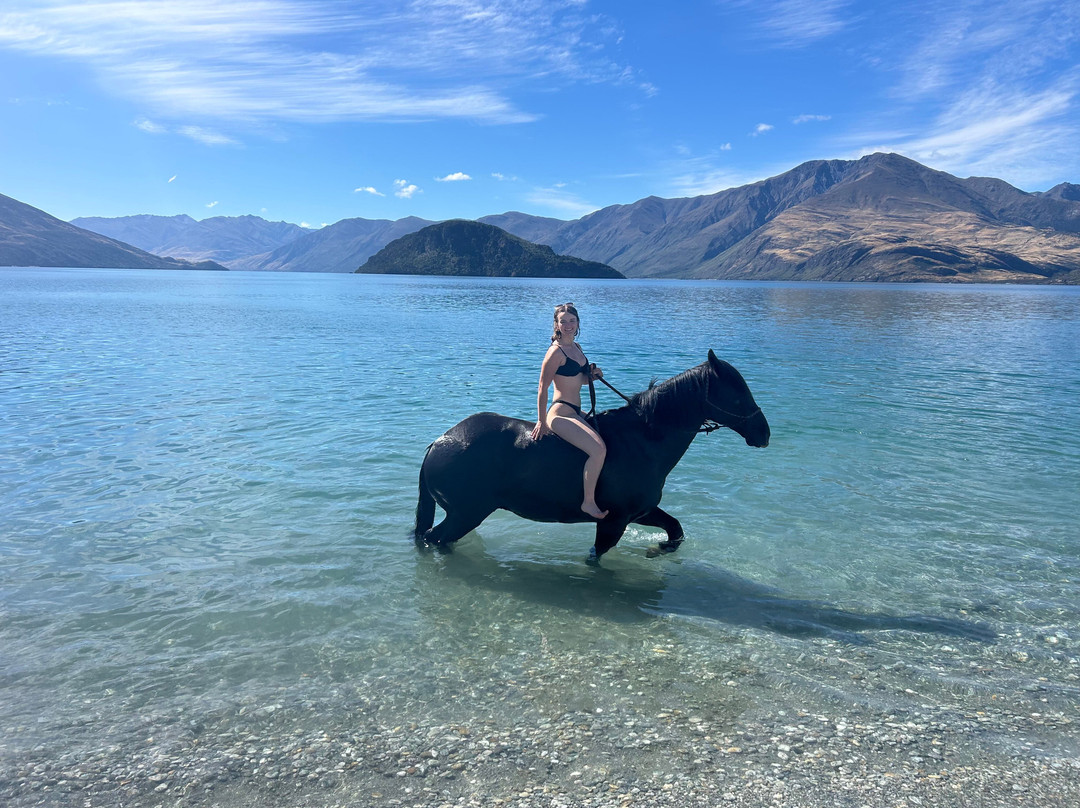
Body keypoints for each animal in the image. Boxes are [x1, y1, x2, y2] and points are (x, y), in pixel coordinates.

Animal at [413, 350, 770, 561]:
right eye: (738, 397)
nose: (764, 434)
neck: (643, 440)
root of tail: (437, 443)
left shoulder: (641, 511)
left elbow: (675, 529)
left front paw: (658, 548)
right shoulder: (615, 520)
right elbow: (596, 557)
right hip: (466, 513)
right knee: (434, 538)